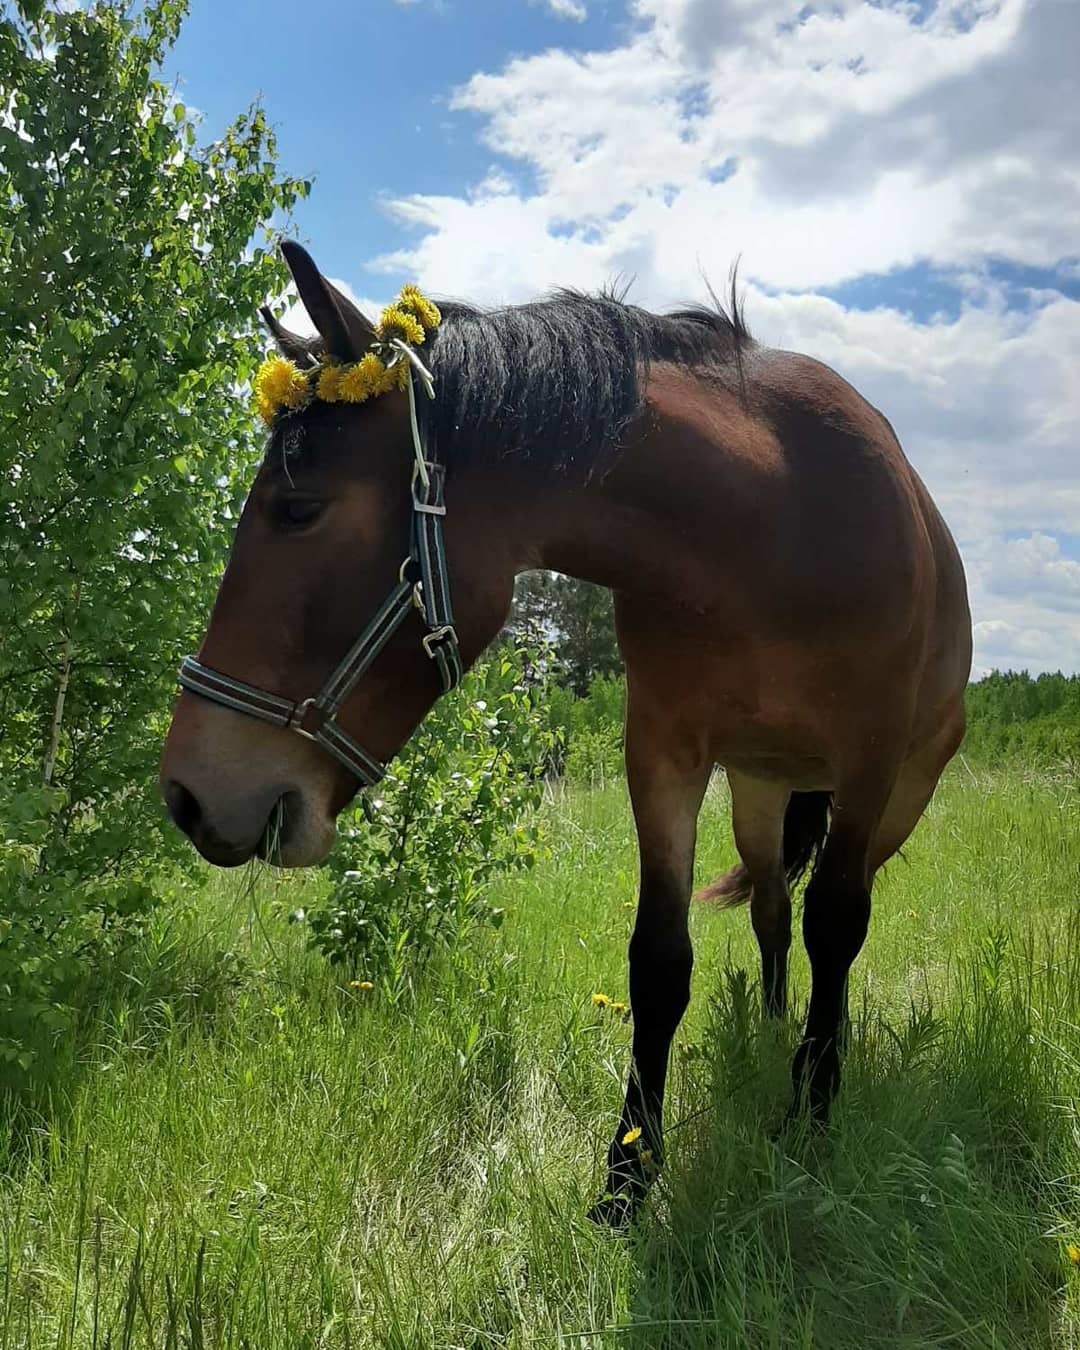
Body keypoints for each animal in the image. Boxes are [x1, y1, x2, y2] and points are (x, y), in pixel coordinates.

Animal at [157, 240, 972, 1225]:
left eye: (298, 509)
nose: (186, 792)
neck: (773, 528)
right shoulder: (663, 754)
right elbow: (659, 961)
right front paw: (627, 1177)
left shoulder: (870, 763)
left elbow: (840, 927)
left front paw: (812, 1121)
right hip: (760, 788)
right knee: (776, 910)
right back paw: (776, 1028)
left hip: (895, 796)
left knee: (832, 921)